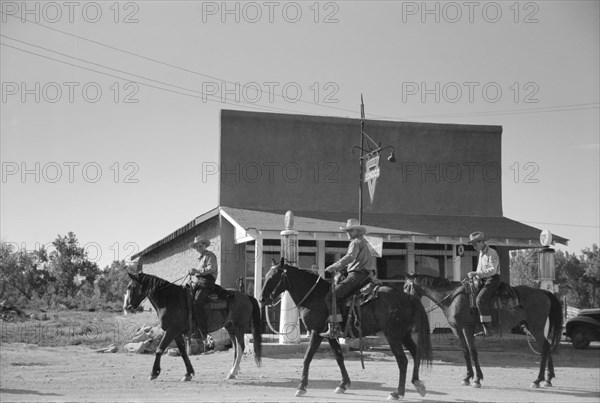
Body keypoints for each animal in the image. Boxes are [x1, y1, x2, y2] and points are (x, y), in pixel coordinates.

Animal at [123, 272, 262, 382]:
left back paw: (233, 372)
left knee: (241, 347)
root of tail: (246, 296)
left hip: (239, 328)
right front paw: (188, 373)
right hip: (230, 328)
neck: (170, 299)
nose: (128, 307)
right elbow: (183, 351)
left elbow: (159, 349)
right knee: (236, 348)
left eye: (131, 287)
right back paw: (233, 372)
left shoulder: (171, 330)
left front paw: (154, 373)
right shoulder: (176, 332)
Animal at [258, 260, 432, 402]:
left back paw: (398, 393)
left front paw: (301, 387)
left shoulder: (316, 331)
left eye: (273, 277)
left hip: (393, 336)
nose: (262, 299)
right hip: (403, 334)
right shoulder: (330, 335)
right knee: (416, 352)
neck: (315, 296)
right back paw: (418, 384)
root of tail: (408, 297)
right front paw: (343, 385)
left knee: (402, 360)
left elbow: (307, 357)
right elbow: (339, 357)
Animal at [404, 276, 564, 390]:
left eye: (406, 287)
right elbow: (465, 352)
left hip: (536, 327)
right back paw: (548, 379)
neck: (453, 298)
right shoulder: (457, 330)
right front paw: (467, 378)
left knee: (545, 347)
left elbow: (473, 352)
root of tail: (543, 292)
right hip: (532, 327)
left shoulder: (467, 328)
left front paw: (477, 379)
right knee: (547, 346)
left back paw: (537, 380)